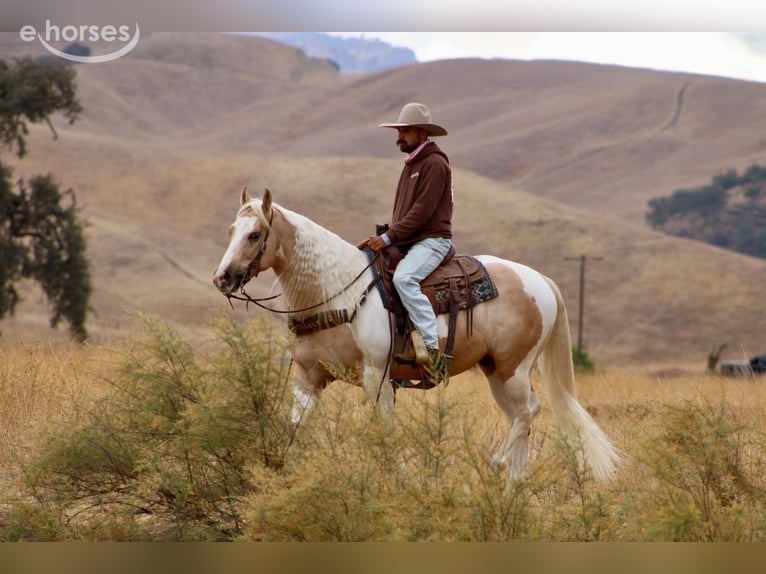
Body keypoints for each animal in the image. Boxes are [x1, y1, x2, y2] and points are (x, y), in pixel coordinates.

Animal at [213, 186, 621, 482]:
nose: (223, 278)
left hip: (514, 369)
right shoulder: (308, 379)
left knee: (529, 412)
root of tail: (541, 280)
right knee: (522, 418)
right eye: (230, 231)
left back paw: (495, 465)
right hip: (495, 372)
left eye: (255, 234)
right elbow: (294, 434)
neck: (337, 290)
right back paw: (511, 491)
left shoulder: (376, 377)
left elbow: (386, 436)